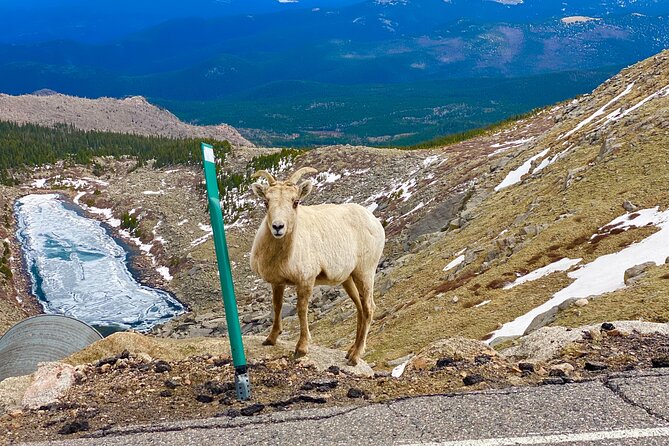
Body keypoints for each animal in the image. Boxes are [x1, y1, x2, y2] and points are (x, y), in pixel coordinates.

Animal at [249, 167, 386, 366]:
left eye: (296, 202)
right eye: (266, 202)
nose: (278, 227)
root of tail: (374, 221)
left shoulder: (306, 280)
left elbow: (301, 310)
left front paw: (301, 349)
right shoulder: (277, 282)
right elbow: (277, 306)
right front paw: (270, 339)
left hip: (365, 272)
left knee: (369, 308)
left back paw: (355, 357)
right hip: (349, 278)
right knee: (360, 308)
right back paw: (350, 352)